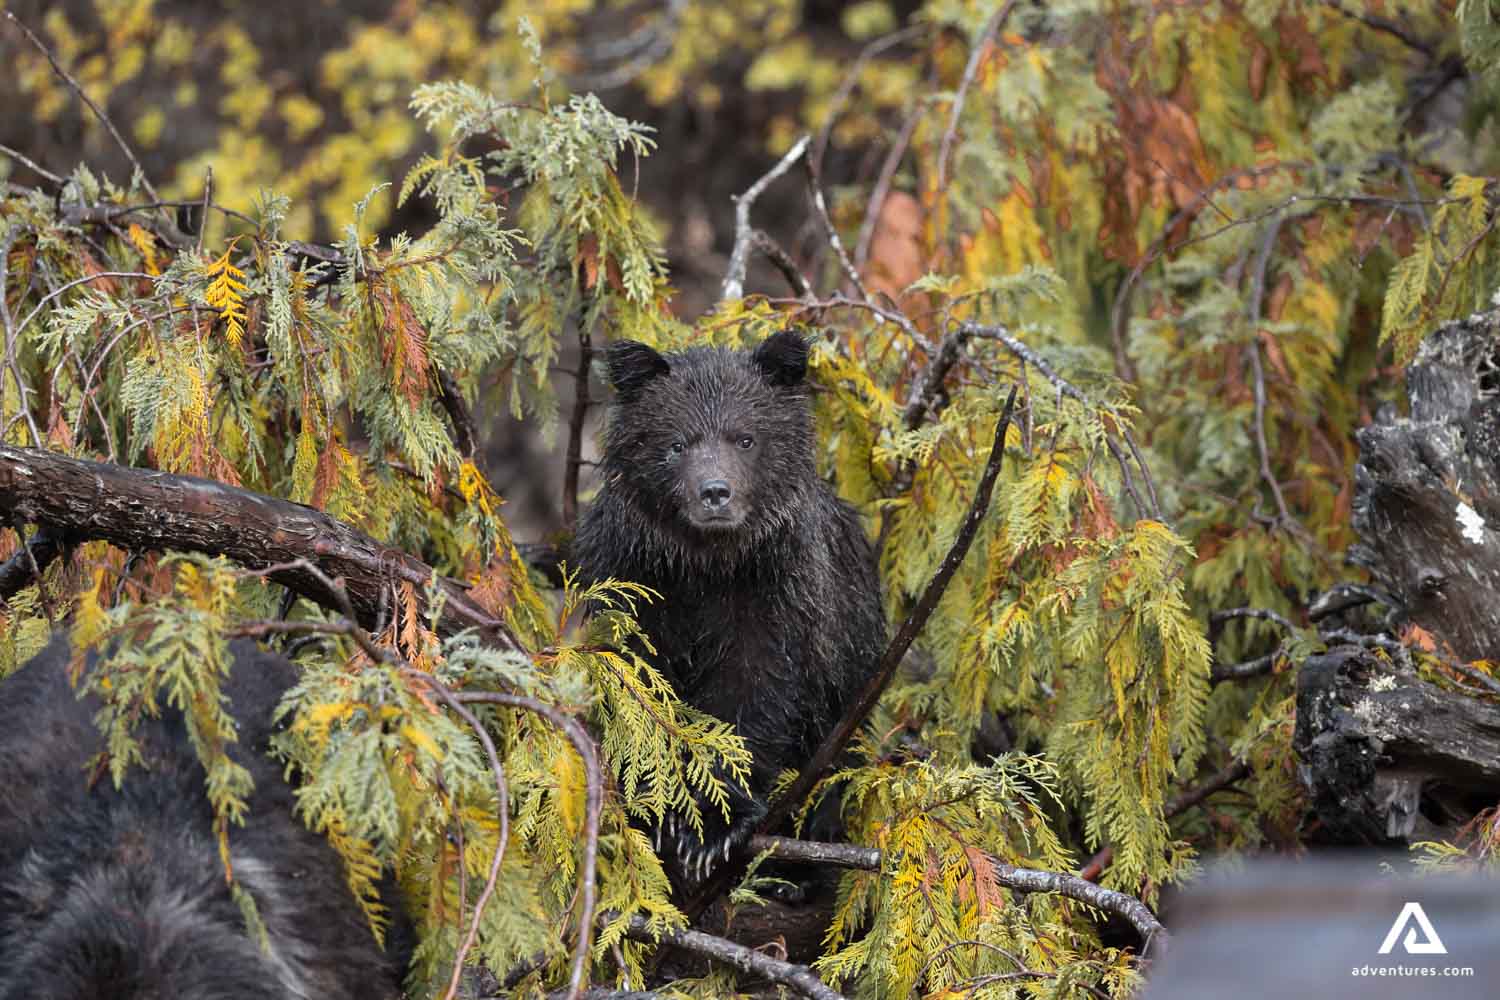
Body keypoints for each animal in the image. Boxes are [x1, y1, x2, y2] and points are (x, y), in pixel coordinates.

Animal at [572, 331, 886, 886]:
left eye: (745, 438)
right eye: (677, 443)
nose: (715, 492)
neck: (708, 565)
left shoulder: (777, 594)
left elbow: (755, 691)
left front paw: (712, 826)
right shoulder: (634, 580)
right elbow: (637, 685)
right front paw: (656, 808)